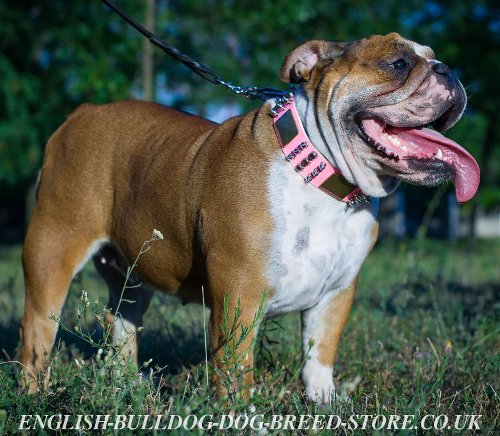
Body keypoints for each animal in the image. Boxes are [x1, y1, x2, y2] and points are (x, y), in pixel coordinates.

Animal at [19, 32, 480, 404]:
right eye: (398, 63)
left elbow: (320, 353)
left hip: (133, 276)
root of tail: (82, 113)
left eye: (433, 58)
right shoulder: (238, 296)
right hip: (52, 251)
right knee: (37, 333)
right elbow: (236, 366)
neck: (319, 176)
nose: (448, 70)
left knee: (123, 326)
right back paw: (33, 396)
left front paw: (324, 402)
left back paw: (126, 387)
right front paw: (240, 413)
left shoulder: (336, 293)